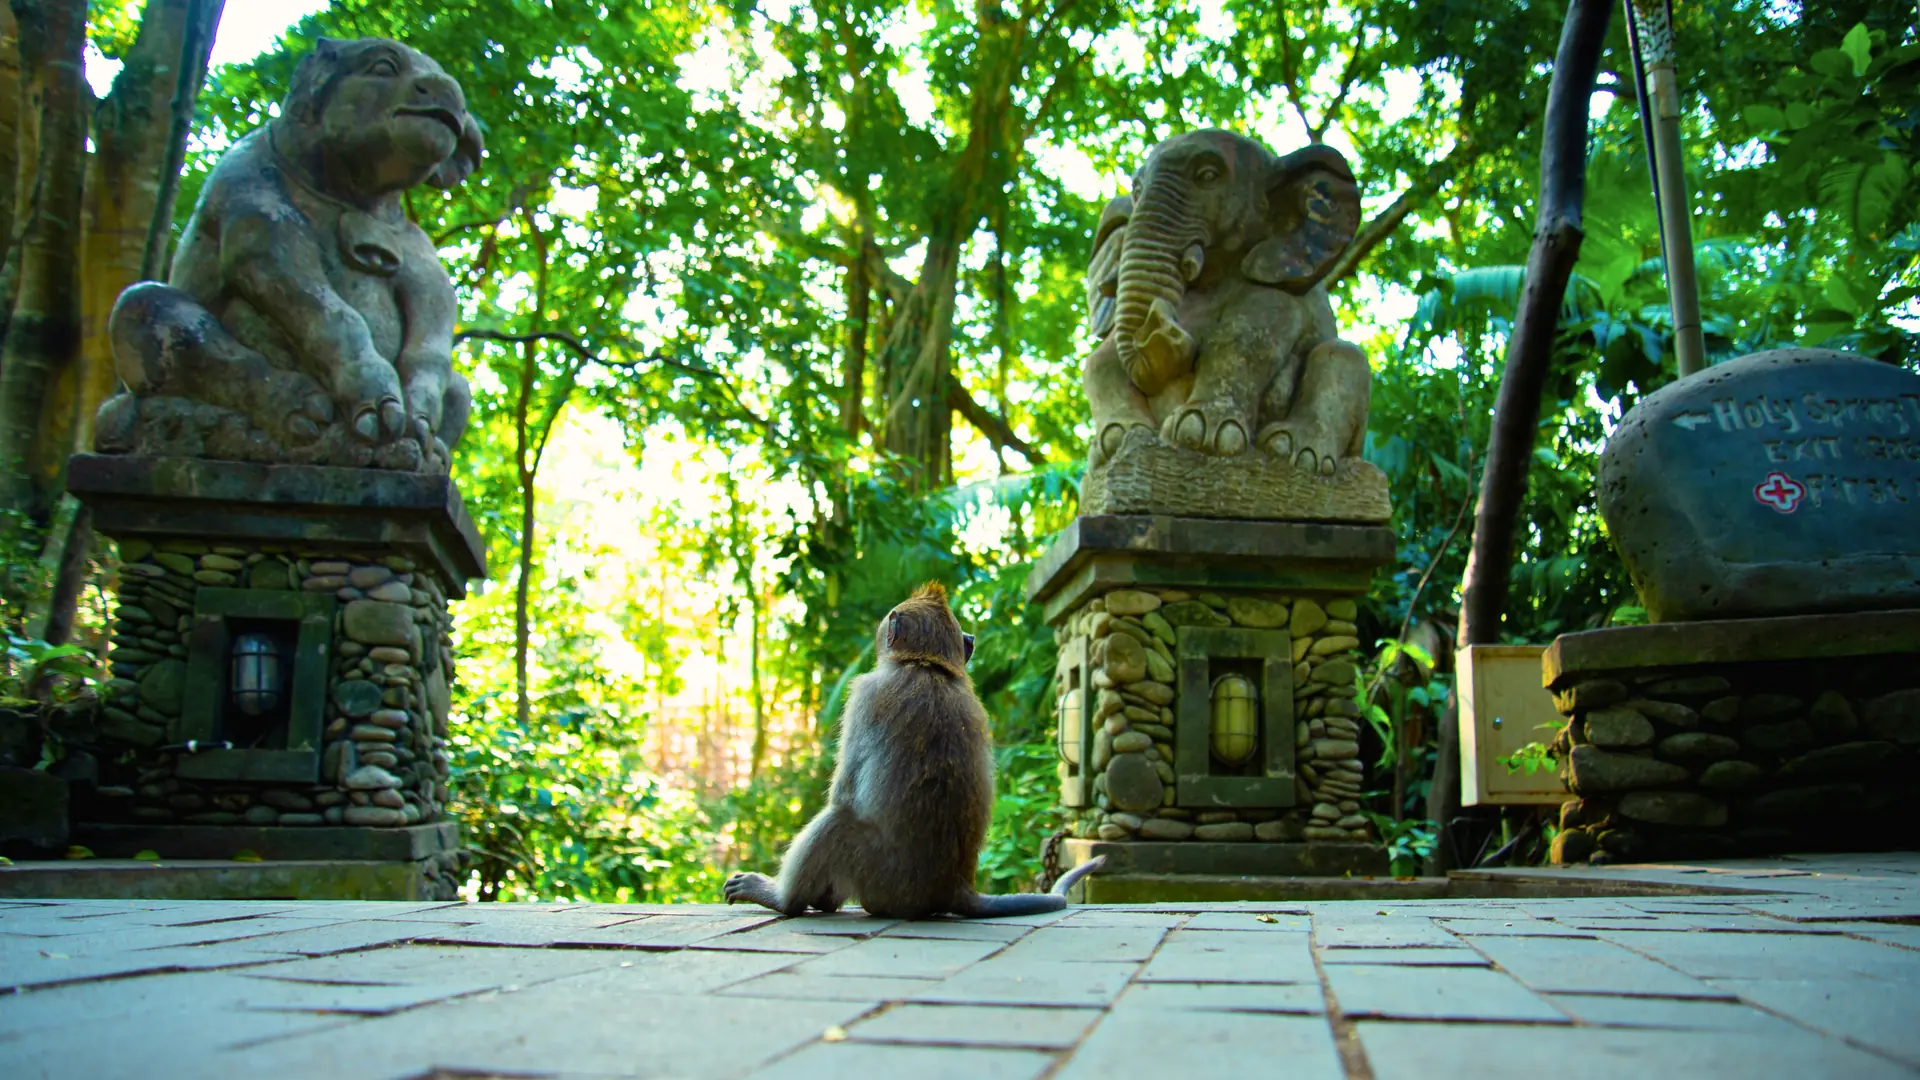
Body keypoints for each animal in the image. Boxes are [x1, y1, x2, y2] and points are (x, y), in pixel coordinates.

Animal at [724, 583, 1104, 919]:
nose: (971, 638)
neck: (926, 665)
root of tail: (954, 887)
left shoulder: (863, 694)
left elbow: (843, 793)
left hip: (883, 881)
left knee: (838, 821)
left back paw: (785, 900)